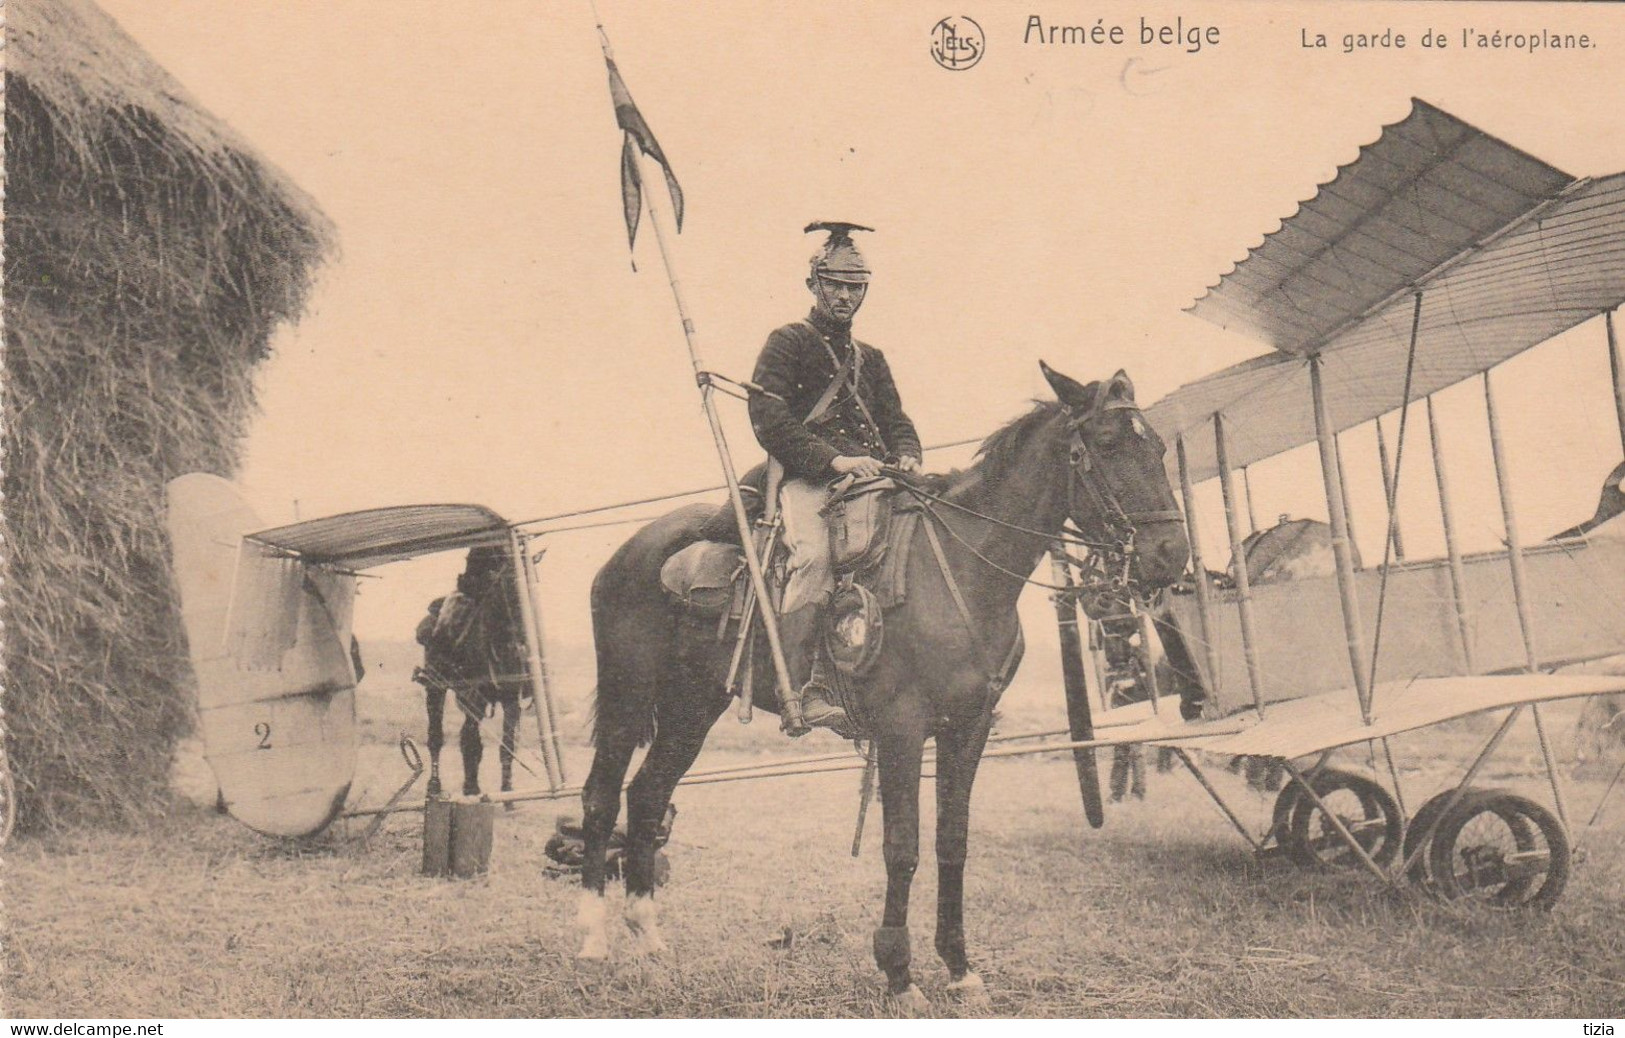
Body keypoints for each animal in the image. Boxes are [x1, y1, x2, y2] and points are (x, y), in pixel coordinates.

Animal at [416, 549, 529, 799]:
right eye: (508, 587)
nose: (521, 645)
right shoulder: (473, 696)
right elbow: (470, 741)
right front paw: (471, 787)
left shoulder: (510, 698)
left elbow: (507, 745)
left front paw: (507, 790)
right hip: (436, 688)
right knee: (436, 737)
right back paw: (434, 786)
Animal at [578, 360, 1189, 1013]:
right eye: (1108, 445)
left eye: (1157, 446)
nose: (1170, 554)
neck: (960, 568)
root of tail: (629, 552)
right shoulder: (902, 729)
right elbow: (903, 847)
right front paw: (898, 972)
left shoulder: (968, 728)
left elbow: (952, 841)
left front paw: (959, 967)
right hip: (627, 696)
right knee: (601, 796)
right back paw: (593, 939)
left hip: (695, 706)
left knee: (647, 795)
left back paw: (647, 935)